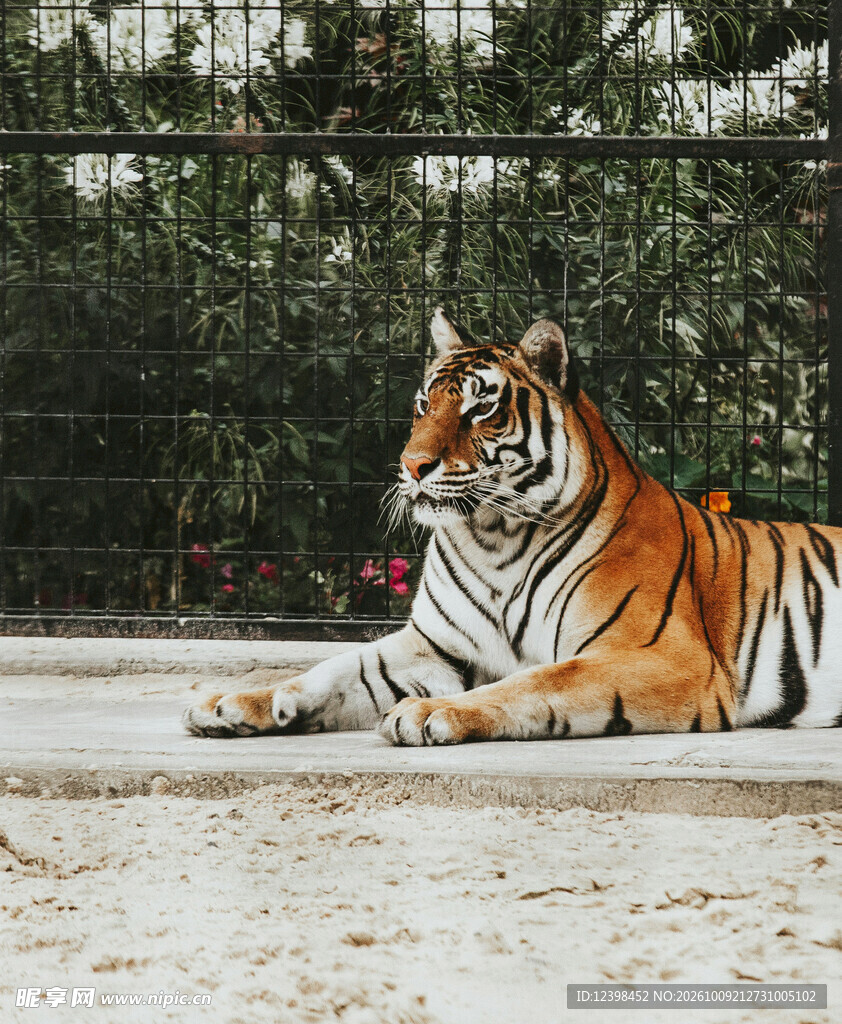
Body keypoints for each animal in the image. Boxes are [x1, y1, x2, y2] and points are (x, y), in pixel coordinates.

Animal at [183, 307, 842, 745]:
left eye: (480, 408)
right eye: (423, 405)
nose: (411, 465)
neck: (493, 538)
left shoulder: (660, 655)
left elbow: (537, 681)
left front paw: (428, 714)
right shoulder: (435, 646)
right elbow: (337, 668)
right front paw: (232, 702)